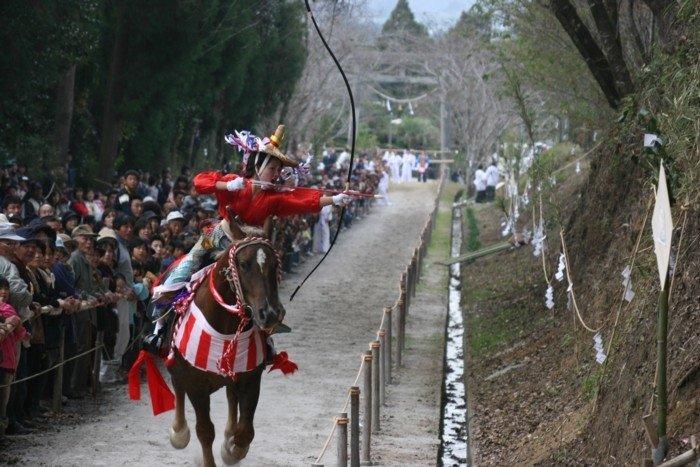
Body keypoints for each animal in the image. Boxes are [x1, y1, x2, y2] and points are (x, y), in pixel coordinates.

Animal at [165, 218, 284, 466]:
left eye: (275, 263)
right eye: (243, 264)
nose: (270, 313)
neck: (225, 325)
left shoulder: (249, 378)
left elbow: (245, 431)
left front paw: (232, 448)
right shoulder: (196, 384)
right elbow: (205, 430)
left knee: (231, 397)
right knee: (177, 384)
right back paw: (179, 432)